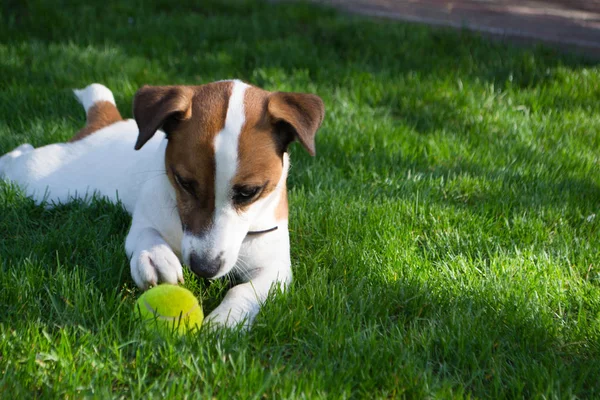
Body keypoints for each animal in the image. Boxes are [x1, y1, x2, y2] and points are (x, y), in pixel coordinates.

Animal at [0, 80, 326, 328]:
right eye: (184, 182)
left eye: (249, 192)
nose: (204, 268)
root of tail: (105, 123)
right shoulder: (144, 221)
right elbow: (145, 235)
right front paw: (154, 256)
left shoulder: (276, 269)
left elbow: (246, 289)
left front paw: (226, 319)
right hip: (38, 182)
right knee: (17, 161)